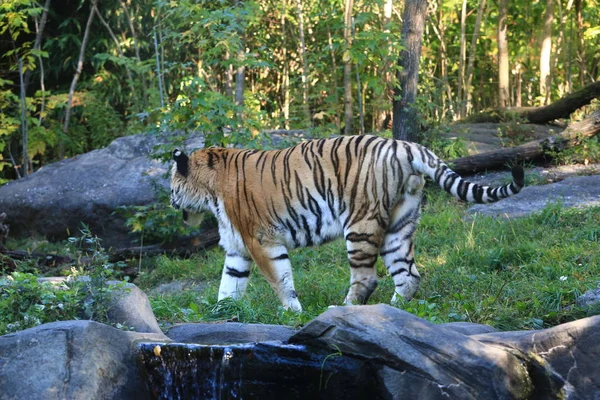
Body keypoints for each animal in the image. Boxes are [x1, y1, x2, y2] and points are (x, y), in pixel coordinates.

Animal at [168, 135, 520, 312]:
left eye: (171, 186)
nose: (171, 201)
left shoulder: (261, 240)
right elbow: (228, 285)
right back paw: (394, 311)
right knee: (409, 275)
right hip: (400, 223)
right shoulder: (237, 248)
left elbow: (279, 279)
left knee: (366, 277)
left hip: (361, 223)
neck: (210, 191)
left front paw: (292, 313)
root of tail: (406, 145)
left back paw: (343, 309)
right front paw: (222, 315)